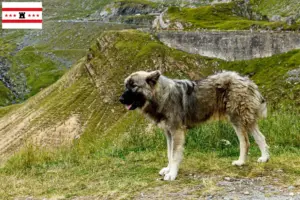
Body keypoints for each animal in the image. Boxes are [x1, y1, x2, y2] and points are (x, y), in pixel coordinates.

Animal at [119, 70, 270, 181]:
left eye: (134, 86)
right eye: (126, 86)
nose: (120, 99)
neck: (162, 95)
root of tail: (247, 80)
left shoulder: (176, 132)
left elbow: (174, 155)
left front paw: (172, 174)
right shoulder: (168, 133)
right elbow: (169, 154)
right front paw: (168, 169)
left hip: (237, 118)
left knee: (245, 141)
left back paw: (243, 161)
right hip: (243, 119)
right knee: (259, 137)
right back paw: (261, 158)